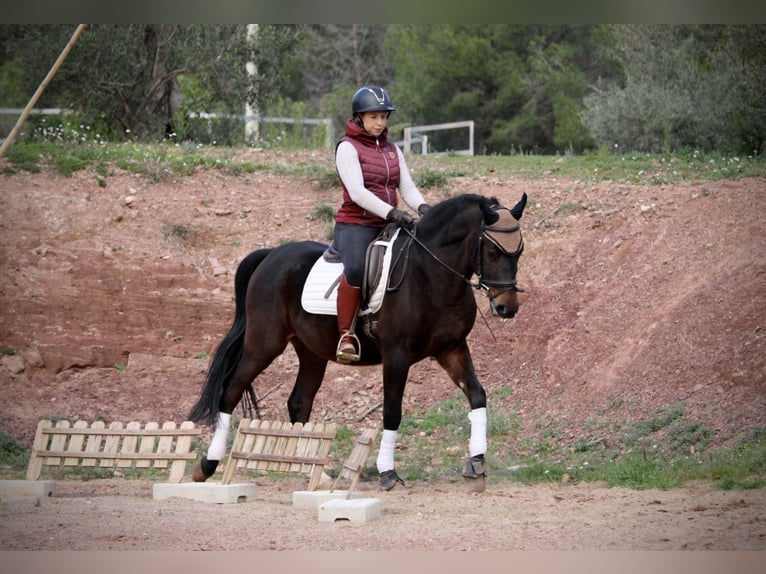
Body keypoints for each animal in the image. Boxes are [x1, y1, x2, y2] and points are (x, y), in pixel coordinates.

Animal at [188, 192, 527, 491]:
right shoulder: (397, 356)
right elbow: (392, 411)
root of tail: (271, 254)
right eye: (493, 251)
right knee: (230, 391)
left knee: (299, 402)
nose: (507, 308)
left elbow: (477, 396)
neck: (431, 275)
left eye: (519, 252)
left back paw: (315, 472)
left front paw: (477, 463)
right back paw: (207, 465)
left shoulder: (452, 349)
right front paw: (388, 473)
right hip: (264, 344)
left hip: (311, 352)